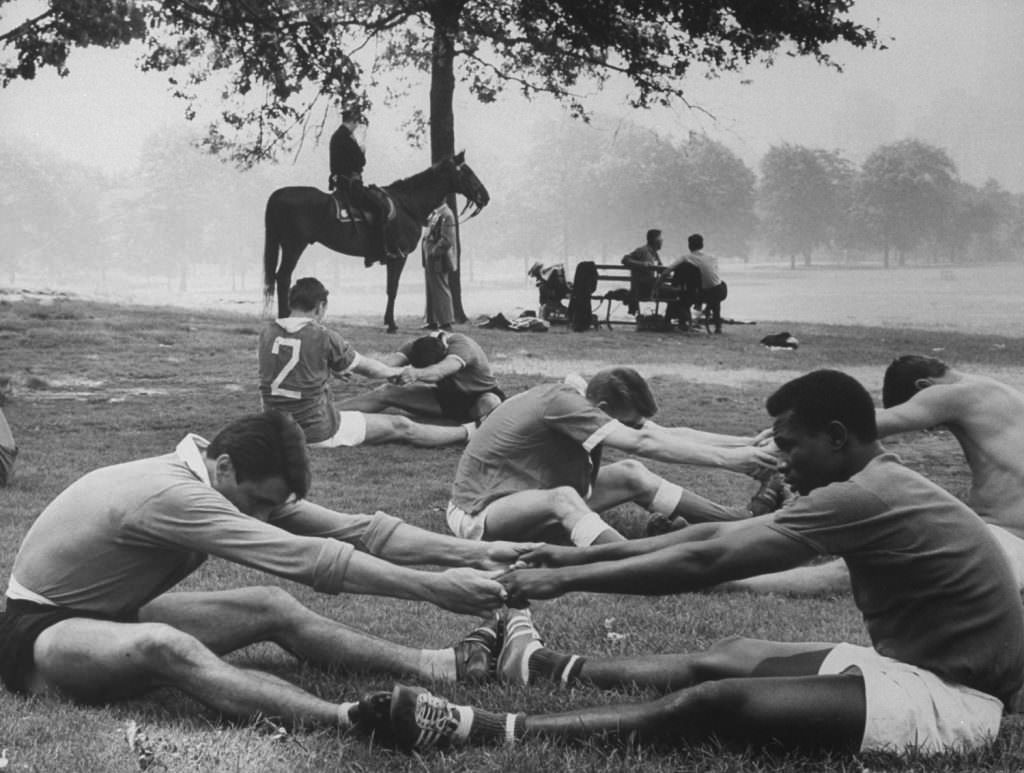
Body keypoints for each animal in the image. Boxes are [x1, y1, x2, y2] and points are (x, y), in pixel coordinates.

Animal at [262, 152, 489, 331]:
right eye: (467, 172)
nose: (485, 196)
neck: (407, 204)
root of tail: (280, 194)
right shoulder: (399, 256)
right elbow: (393, 288)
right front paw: (391, 323)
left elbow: (390, 288)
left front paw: (389, 321)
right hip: (294, 246)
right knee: (283, 277)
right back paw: (285, 316)